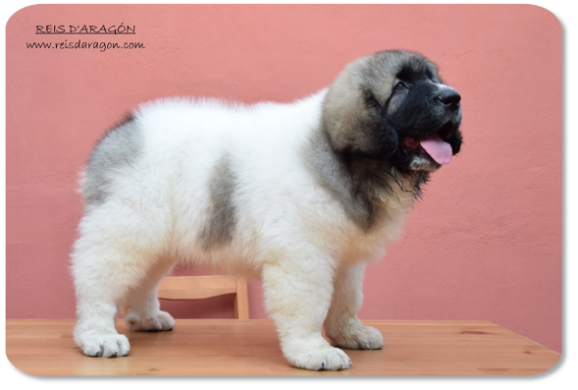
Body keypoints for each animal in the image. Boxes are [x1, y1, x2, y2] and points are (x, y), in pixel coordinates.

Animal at [71, 50, 460, 370]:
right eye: (401, 86)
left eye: (433, 79)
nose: (453, 98)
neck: (350, 162)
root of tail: (125, 127)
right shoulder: (302, 257)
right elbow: (309, 304)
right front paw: (313, 350)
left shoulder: (346, 258)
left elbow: (347, 300)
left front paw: (350, 333)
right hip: (128, 227)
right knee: (97, 281)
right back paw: (98, 335)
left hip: (158, 239)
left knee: (145, 280)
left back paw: (146, 318)